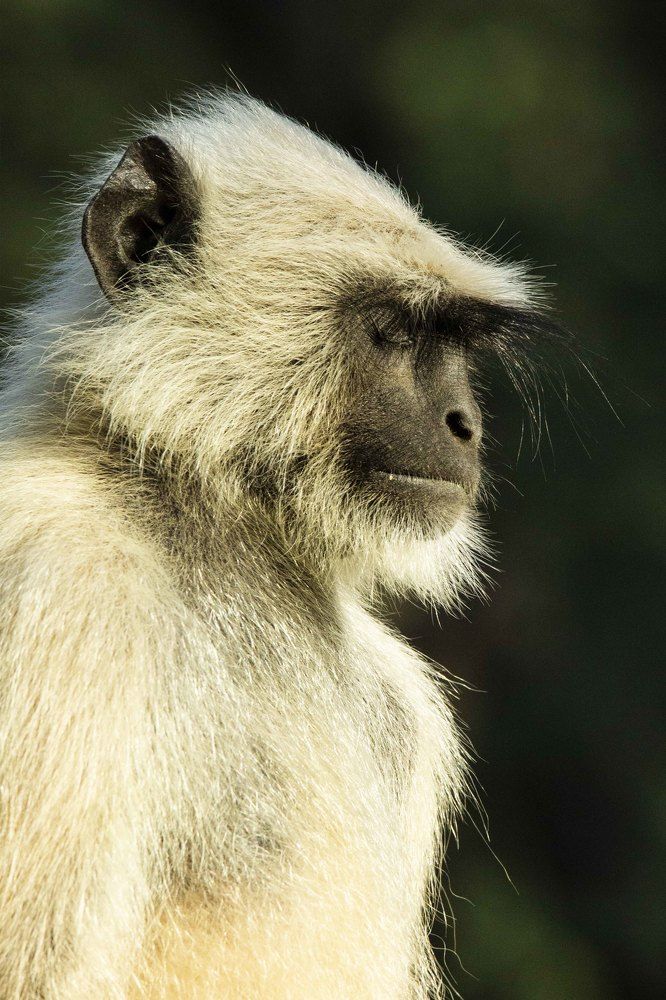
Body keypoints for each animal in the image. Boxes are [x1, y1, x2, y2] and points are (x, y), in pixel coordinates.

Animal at [0, 92, 559, 998]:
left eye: (454, 346)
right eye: (391, 331)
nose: (464, 424)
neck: (216, 537)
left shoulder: (408, 714)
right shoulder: (62, 589)